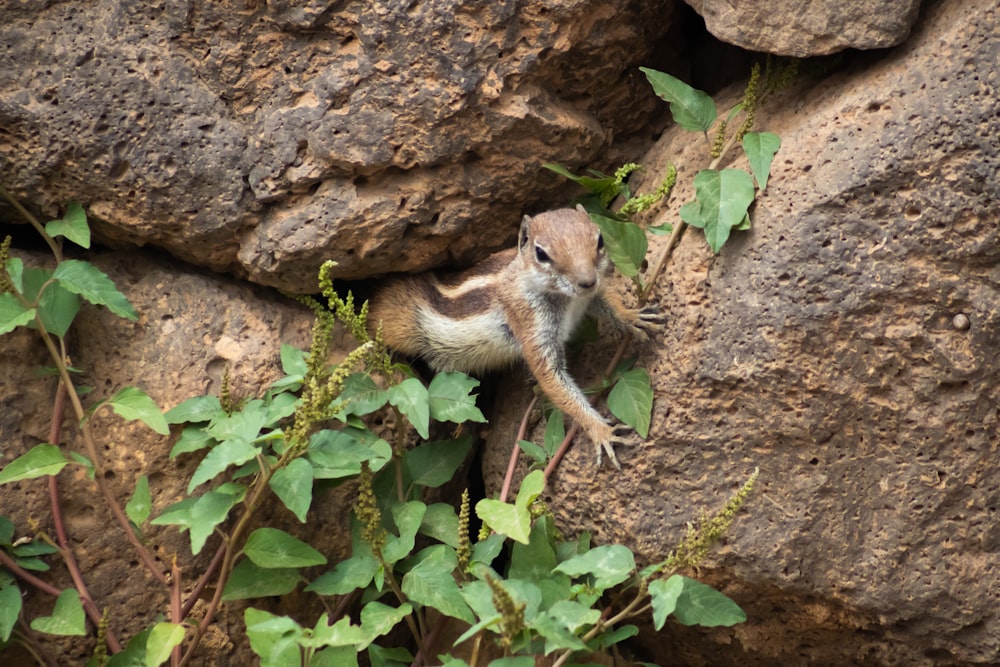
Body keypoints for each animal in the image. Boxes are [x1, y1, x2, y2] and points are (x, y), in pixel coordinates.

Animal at [368, 206, 664, 468]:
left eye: (600, 239)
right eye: (541, 254)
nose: (587, 281)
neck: (567, 300)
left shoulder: (591, 296)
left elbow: (608, 301)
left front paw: (633, 316)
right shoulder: (531, 328)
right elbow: (553, 380)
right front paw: (601, 431)